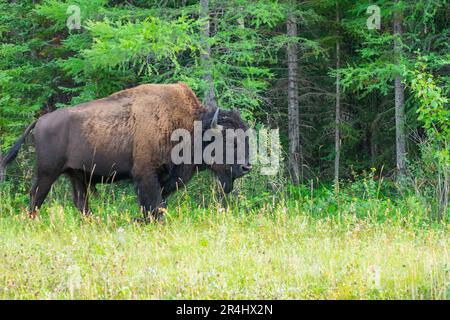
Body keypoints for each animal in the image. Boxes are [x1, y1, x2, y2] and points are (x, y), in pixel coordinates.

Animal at [1, 82, 251, 221]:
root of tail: (41, 121)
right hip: (47, 173)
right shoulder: (146, 176)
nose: (246, 167)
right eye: (229, 141)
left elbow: (153, 206)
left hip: (77, 176)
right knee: (36, 197)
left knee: (81, 203)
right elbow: (154, 205)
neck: (189, 126)